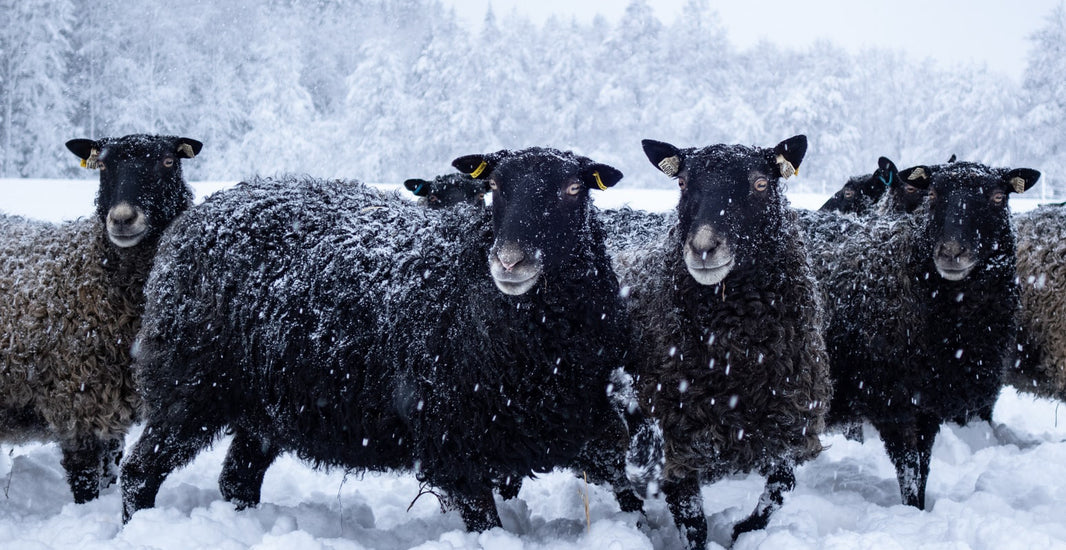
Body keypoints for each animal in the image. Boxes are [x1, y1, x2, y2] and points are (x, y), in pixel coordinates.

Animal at [122, 147, 643, 528]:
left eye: (574, 189)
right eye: (495, 187)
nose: (511, 261)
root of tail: (193, 218)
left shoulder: (581, 416)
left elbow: (628, 489)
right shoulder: (452, 440)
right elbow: (487, 523)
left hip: (265, 406)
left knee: (237, 480)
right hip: (188, 386)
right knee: (138, 473)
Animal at [609, 135, 831, 545]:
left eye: (761, 183)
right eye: (682, 183)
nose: (703, 248)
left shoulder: (789, 420)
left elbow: (779, 488)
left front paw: (744, 530)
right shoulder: (673, 436)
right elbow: (693, 523)